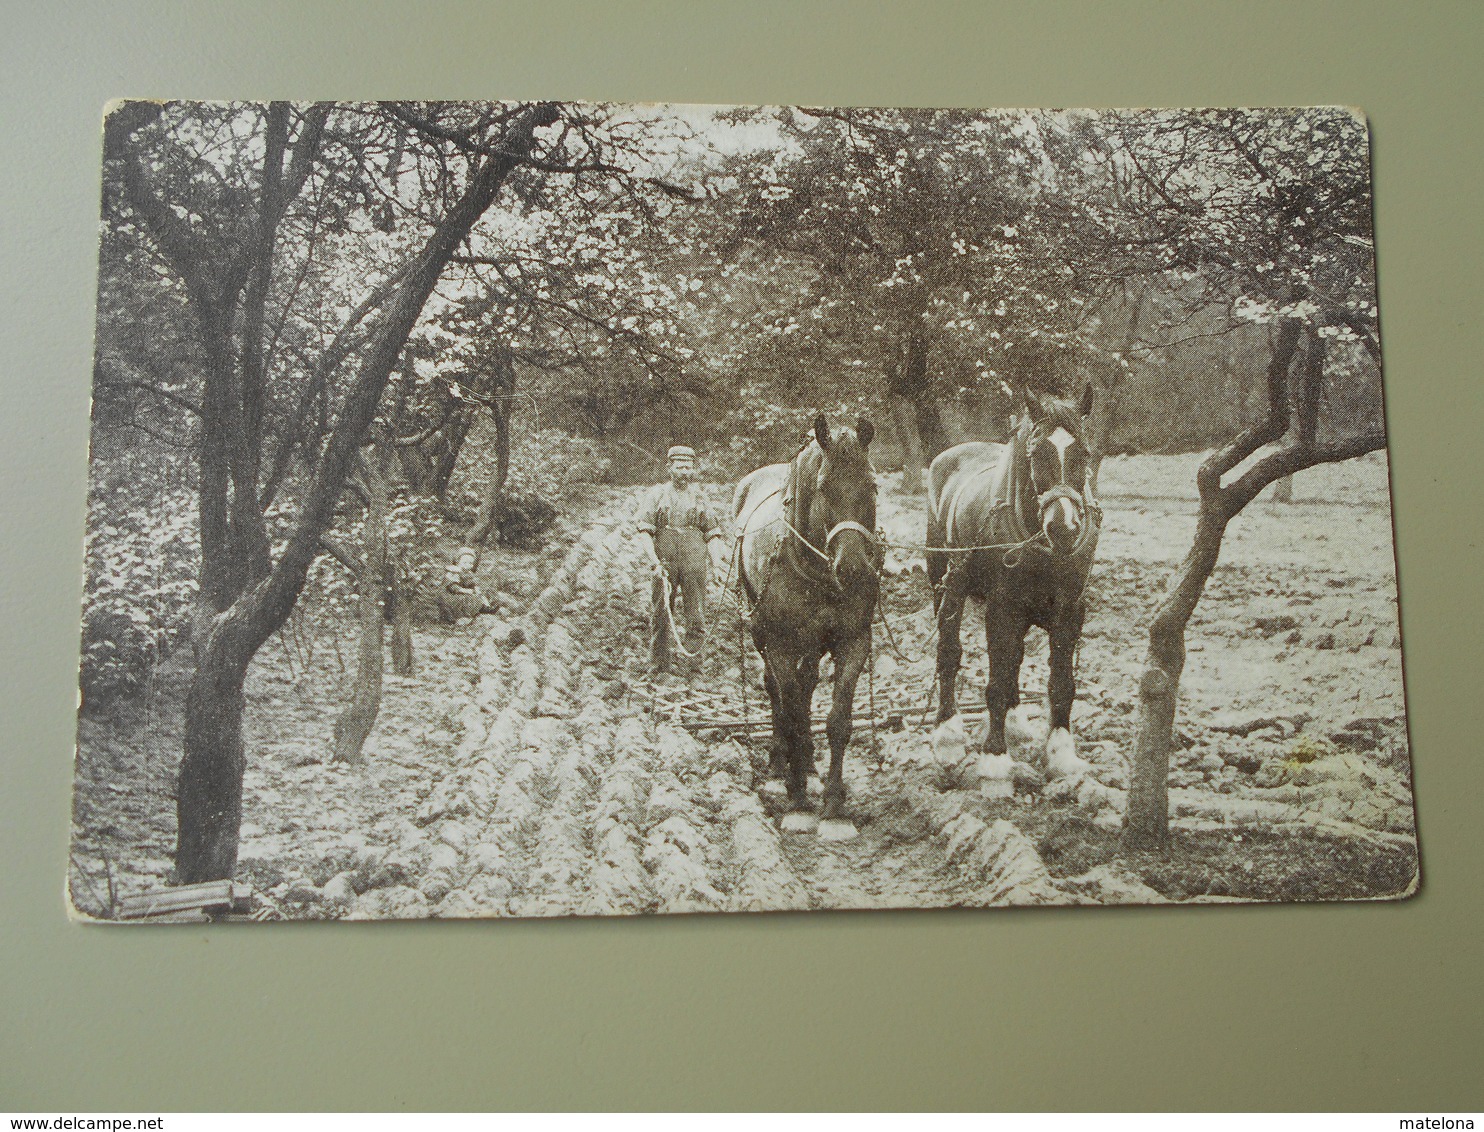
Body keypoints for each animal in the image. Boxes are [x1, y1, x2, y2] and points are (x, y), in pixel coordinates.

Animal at [733, 415, 878, 842]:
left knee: (808, 683)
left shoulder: (854, 641)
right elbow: (793, 712)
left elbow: (838, 721)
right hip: (761, 633)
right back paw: (779, 763)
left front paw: (834, 806)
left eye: (872, 486)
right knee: (778, 692)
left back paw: (810, 766)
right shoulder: (780, 644)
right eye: (823, 487)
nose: (854, 568)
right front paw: (797, 802)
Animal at [926, 388, 1104, 777]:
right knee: (948, 650)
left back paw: (1014, 720)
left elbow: (1061, 683)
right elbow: (995, 680)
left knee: (1015, 659)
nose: (1064, 528)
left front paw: (1061, 752)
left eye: (1084, 453)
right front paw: (995, 756)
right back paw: (947, 732)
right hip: (947, 583)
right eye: (1037, 454)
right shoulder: (1001, 608)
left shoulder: (1070, 611)